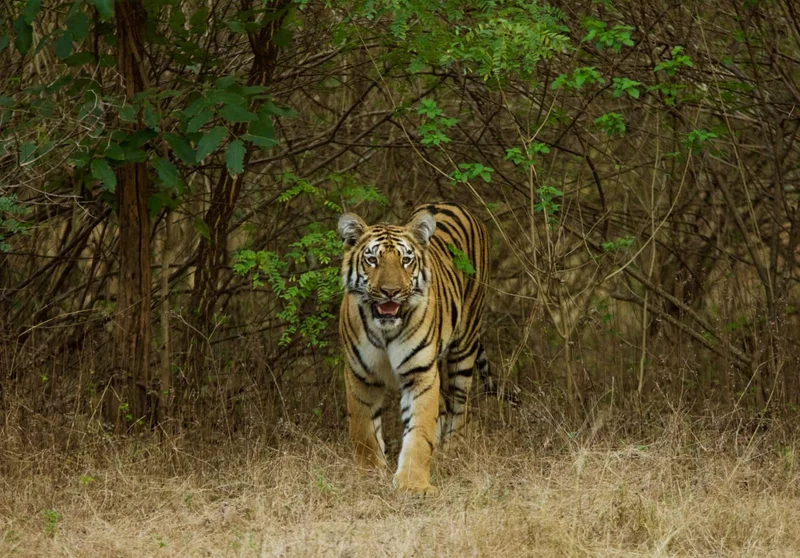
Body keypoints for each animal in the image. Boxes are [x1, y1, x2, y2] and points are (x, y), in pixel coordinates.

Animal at [337, 201, 489, 494]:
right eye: (372, 260)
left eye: (405, 260)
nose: (390, 291)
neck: (385, 329)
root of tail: (450, 203)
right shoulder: (360, 374)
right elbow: (363, 430)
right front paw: (369, 473)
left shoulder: (421, 373)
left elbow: (419, 432)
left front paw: (413, 484)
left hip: (464, 348)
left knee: (459, 406)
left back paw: (453, 450)